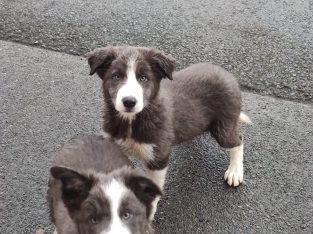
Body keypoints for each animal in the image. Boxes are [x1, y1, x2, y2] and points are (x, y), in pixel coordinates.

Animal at [86, 46, 251, 217]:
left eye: (143, 78)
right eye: (116, 76)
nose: (129, 102)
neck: (131, 121)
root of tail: (227, 75)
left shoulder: (159, 156)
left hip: (224, 126)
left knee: (238, 141)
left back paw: (235, 172)